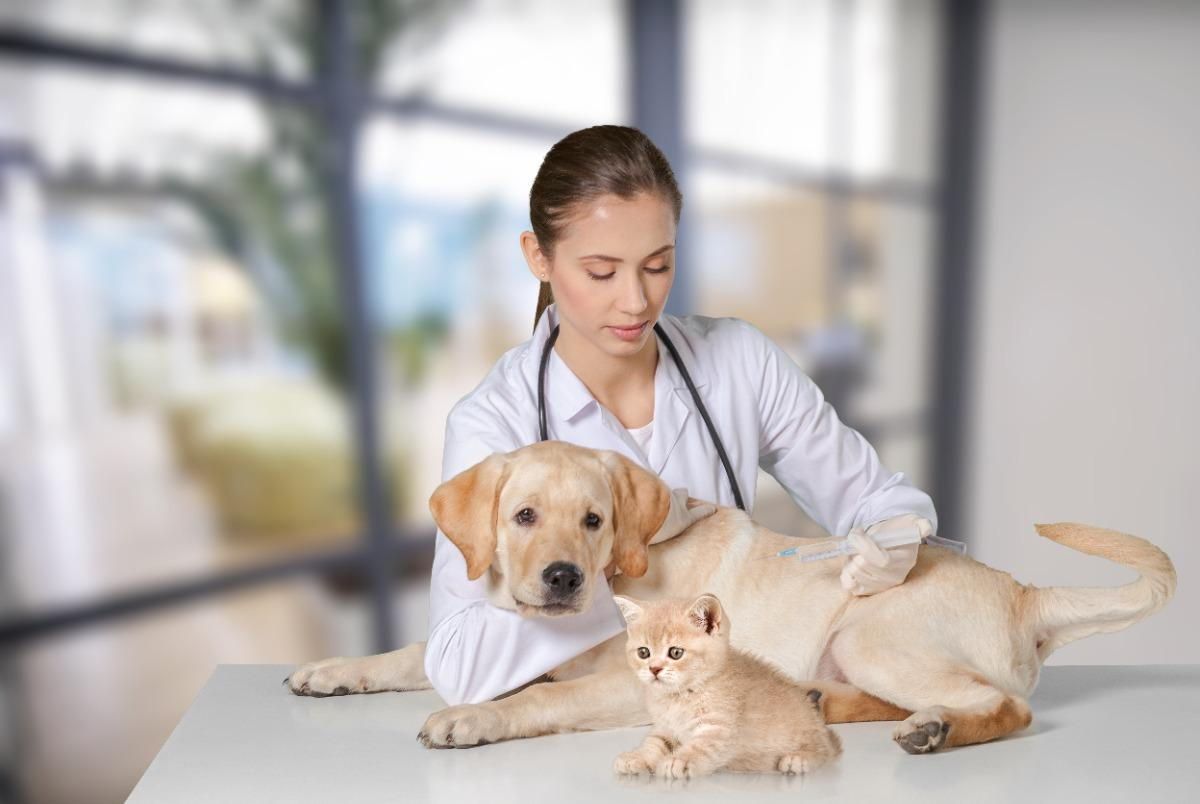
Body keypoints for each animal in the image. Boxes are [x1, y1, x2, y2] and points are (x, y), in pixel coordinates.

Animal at [288, 441, 1171, 758]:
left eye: (595, 520)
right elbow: (411, 652)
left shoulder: (627, 685)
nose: (565, 578)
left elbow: (542, 698)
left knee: (1006, 708)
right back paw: (833, 704)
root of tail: (1023, 593)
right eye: (524, 516)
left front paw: (472, 718)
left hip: (871, 631)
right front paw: (332, 669)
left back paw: (936, 731)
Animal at [614, 592, 840, 782]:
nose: (654, 669)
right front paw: (638, 757)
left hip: (810, 737)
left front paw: (677, 761)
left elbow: (699, 747)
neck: (680, 696)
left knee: (824, 750)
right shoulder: (665, 728)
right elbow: (654, 743)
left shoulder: (718, 728)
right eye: (643, 652)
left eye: (676, 653)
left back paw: (797, 759)